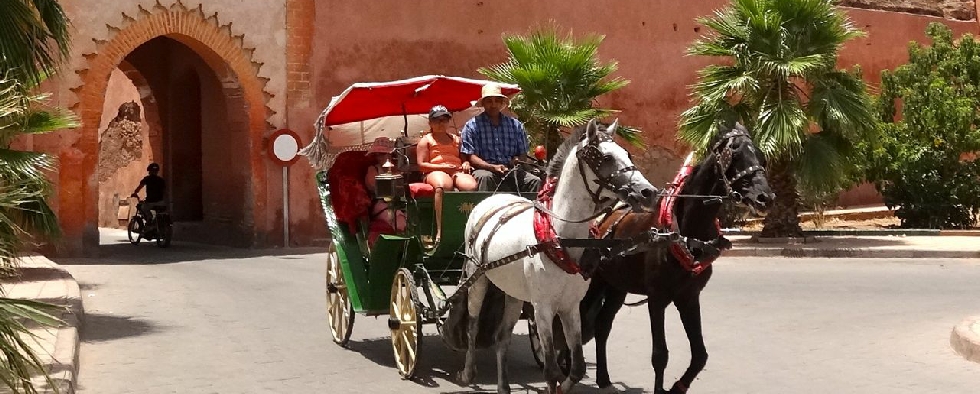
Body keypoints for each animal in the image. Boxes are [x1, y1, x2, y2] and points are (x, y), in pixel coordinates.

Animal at [460, 121, 660, 394]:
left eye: (628, 154)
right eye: (606, 158)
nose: (648, 192)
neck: (560, 238)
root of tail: (493, 199)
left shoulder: (570, 306)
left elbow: (577, 367)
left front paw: (565, 384)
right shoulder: (543, 308)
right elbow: (551, 369)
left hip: (514, 293)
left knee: (502, 338)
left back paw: (503, 386)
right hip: (477, 279)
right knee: (472, 326)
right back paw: (468, 372)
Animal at [580, 121, 772, 392]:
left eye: (761, 156)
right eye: (734, 155)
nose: (766, 197)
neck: (685, 231)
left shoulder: (689, 297)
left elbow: (700, 354)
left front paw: (678, 386)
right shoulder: (657, 298)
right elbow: (660, 355)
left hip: (617, 285)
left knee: (602, 324)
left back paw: (603, 378)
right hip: (596, 280)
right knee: (579, 315)